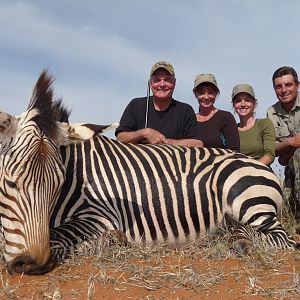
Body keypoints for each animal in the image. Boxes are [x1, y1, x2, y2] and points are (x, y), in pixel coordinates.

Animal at [0, 71, 298, 274]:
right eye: (10, 184)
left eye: (58, 184)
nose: (30, 262)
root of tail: (260, 165)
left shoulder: (102, 216)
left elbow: (58, 235)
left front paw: (108, 242)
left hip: (246, 199)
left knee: (282, 239)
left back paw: (243, 244)